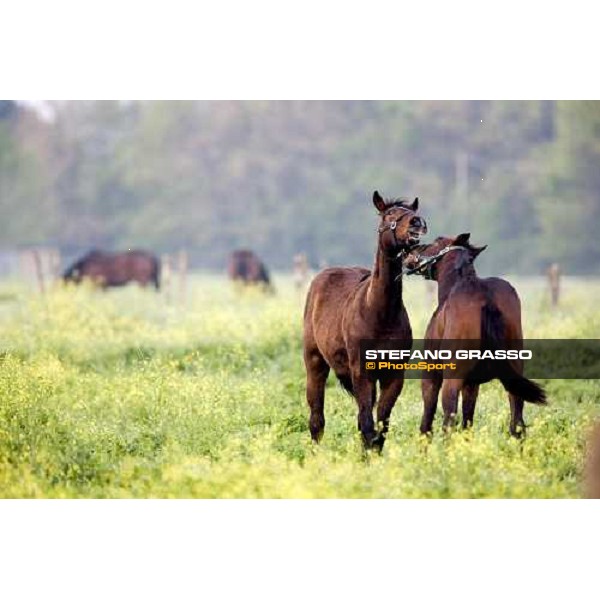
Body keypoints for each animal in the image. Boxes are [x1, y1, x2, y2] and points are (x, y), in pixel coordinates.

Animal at [304, 192, 426, 450]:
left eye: (412, 212)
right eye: (389, 215)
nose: (416, 224)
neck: (380, 316)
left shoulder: (393, 374)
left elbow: (380, 422)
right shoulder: (361, 371)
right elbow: (368, 424)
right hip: (315, 361)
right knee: (316, 417)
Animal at [404, 231, 548, 436]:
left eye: (437, 241)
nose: (412, 249)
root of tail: (486, 299)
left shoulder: (431, 375)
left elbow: (427, 418)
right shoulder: (472, 384)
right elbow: (468, 420)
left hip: (452, 380)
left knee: (449, 419)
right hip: (514, 375)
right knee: (517, 419)